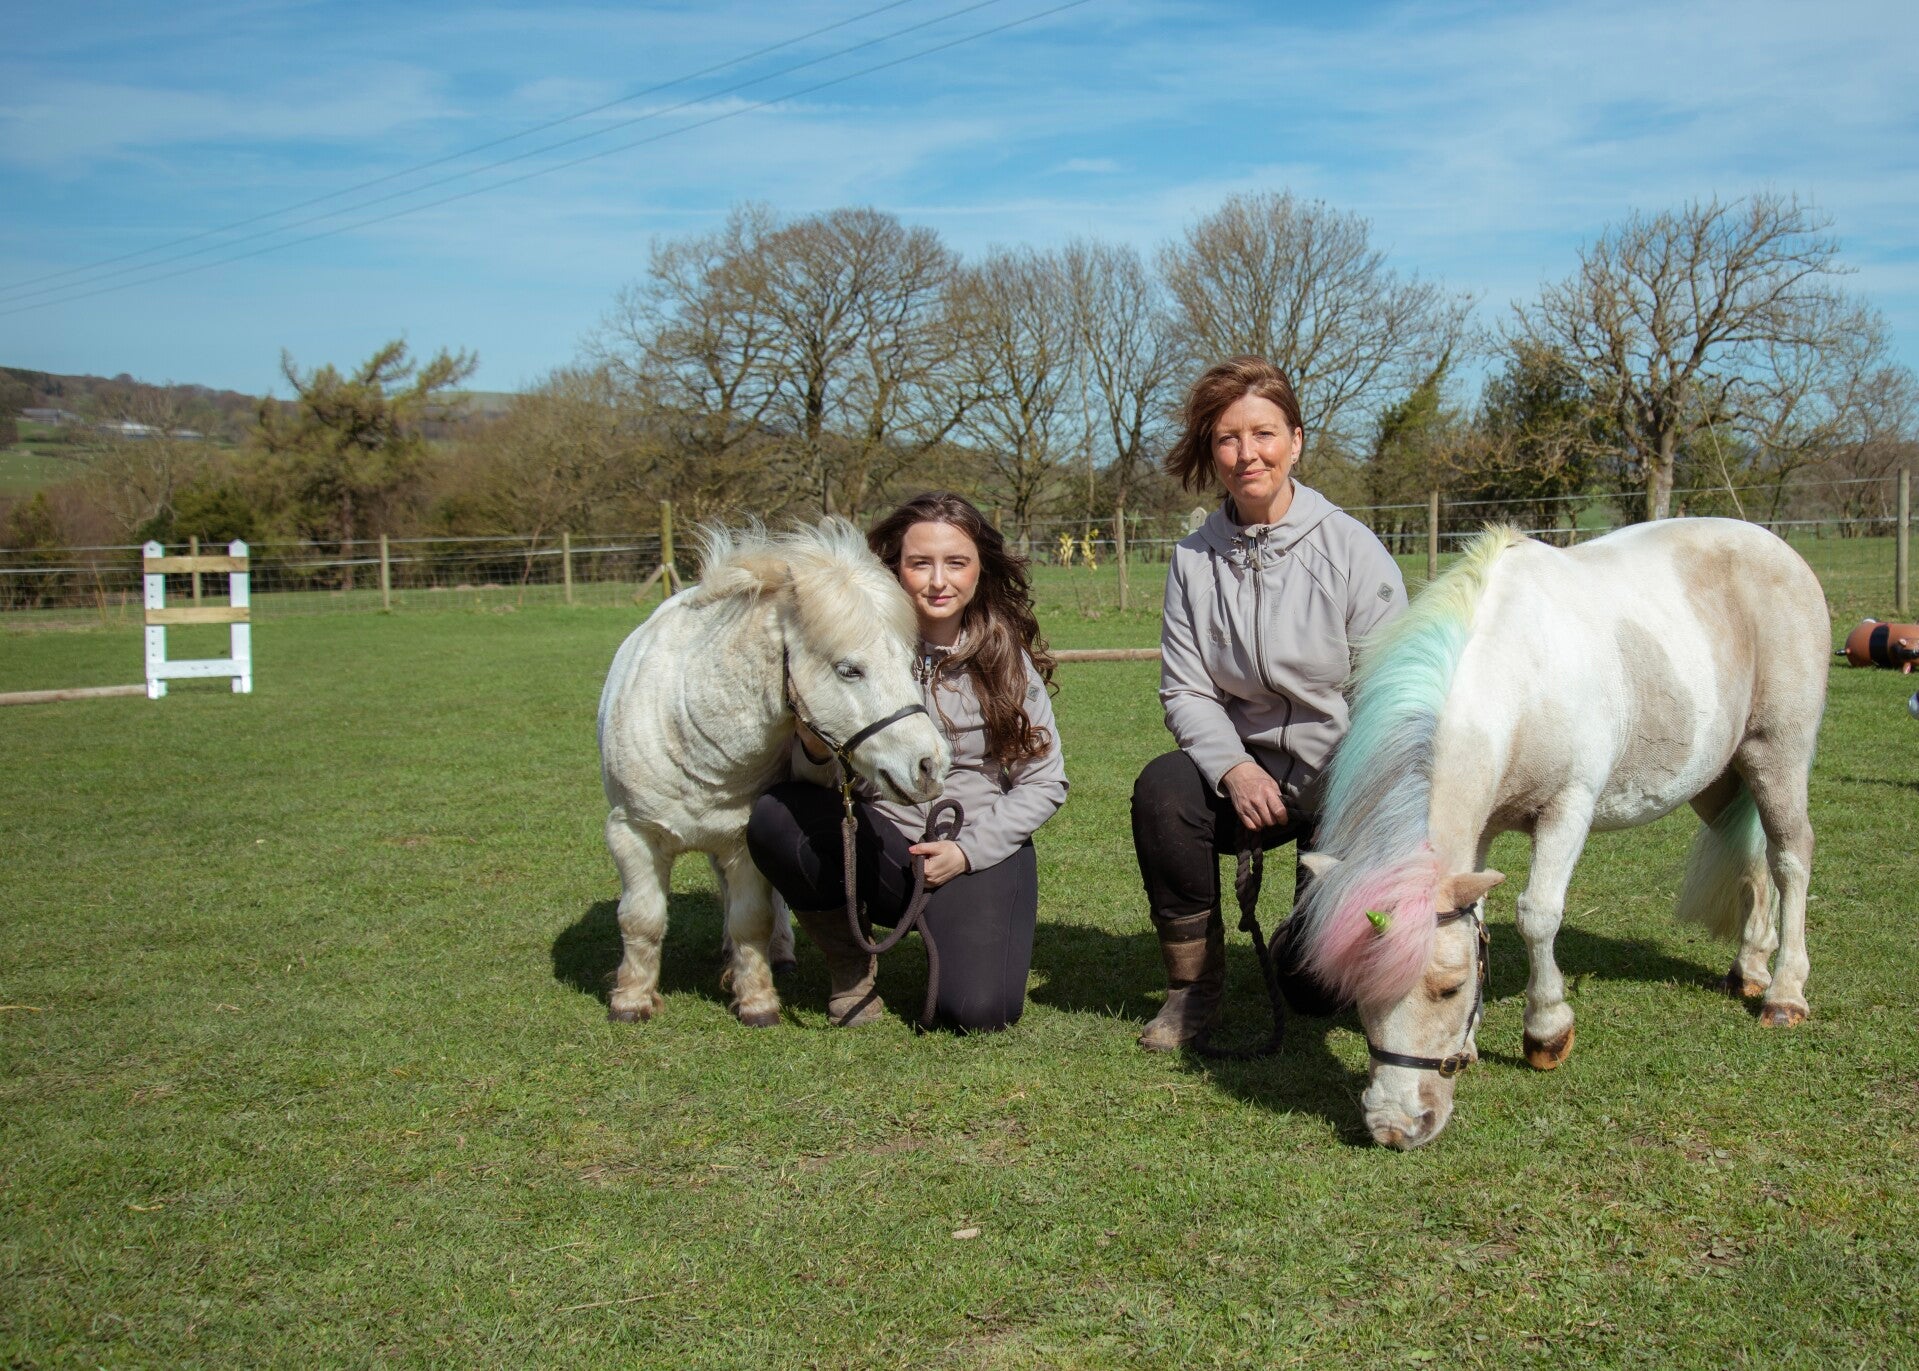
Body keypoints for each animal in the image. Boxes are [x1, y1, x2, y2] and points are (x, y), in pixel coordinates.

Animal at [597, 519, 948, 1027]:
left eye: (910, 665)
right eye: (849, 670)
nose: (931, 764)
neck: (693, 733)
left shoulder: (741, 840)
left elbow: (751, 921)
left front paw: (757, 1001)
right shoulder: (632, 833)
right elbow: (640, 918)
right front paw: (631, 999)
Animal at [1294, 519, 1829, 1150]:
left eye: (1448, 987)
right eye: (1355, 990)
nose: (1395, 1127)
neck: (1522, 677)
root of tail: (1777, 548)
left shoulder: (1568, 808)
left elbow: (1538, 915)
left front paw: (1546, 1032)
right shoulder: (1480, 831)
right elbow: (1481, 922)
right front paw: (1470, 1043)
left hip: (1778, 754)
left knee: (1790, 857)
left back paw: (1784, 993)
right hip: (1719, 777)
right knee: (1751, 859)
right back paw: (1749, 966)